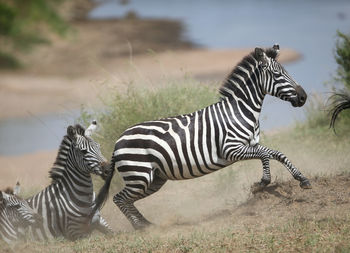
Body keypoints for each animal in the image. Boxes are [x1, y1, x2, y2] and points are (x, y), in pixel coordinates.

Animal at [108, 44, 312, 229]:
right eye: (278, 75)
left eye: (287, 72)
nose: (303, 97)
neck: (240, 111)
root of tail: (118, 141)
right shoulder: (231, 149)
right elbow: (265, 155)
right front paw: (262, 183)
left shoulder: (251, 144)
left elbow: (275, 154)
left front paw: (301, 179)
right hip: (139, 176)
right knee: (118, 198)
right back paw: (139, 227)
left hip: (154, 178)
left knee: (127, 200)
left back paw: (147, 224)